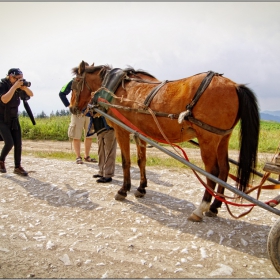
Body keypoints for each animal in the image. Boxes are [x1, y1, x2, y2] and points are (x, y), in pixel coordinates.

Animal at [70, 60, 260, 222]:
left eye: (75, 83)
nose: (72, 108)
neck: (118, 89)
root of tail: (235, 85)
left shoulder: (122, 130)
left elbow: (126, 162)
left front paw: (124, 190)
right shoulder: (140, 132)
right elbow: (141, 160)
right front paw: (141, 188)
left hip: (208, 138)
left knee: (212, 172)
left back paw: (201, 208)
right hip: (223, 138)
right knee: (225, 169)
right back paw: (214, 206)